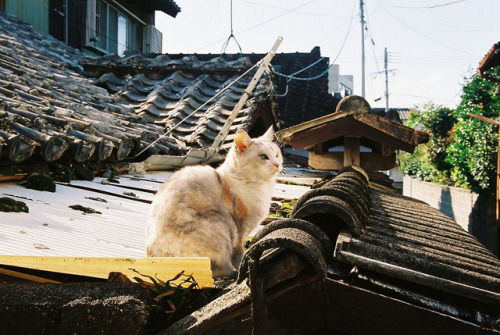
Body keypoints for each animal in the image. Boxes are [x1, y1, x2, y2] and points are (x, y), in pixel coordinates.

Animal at [146, 128, 284, 278]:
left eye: (277, 154)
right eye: (263, 156)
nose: (277, 164)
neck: (261, 187)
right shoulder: (240, 228)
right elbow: (239, 255)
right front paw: (242, 267)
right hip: (221, 228)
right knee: (219, 268)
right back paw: (232, 272)